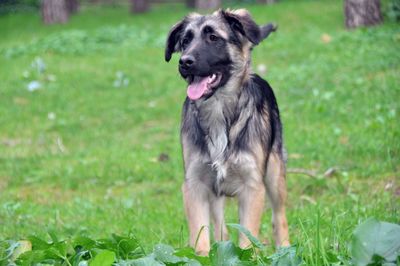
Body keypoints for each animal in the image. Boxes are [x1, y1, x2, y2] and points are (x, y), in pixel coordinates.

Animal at [164, 8, 290, 255]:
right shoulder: (195, 186)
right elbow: (200, 241)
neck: (219, 112)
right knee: (221, 230)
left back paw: (286, 249)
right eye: (185, 41)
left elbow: (247, 241)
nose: (185, 62)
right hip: (216, 192)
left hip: (274, 173)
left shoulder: (253, 187)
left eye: (213, 37)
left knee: (279, 217)